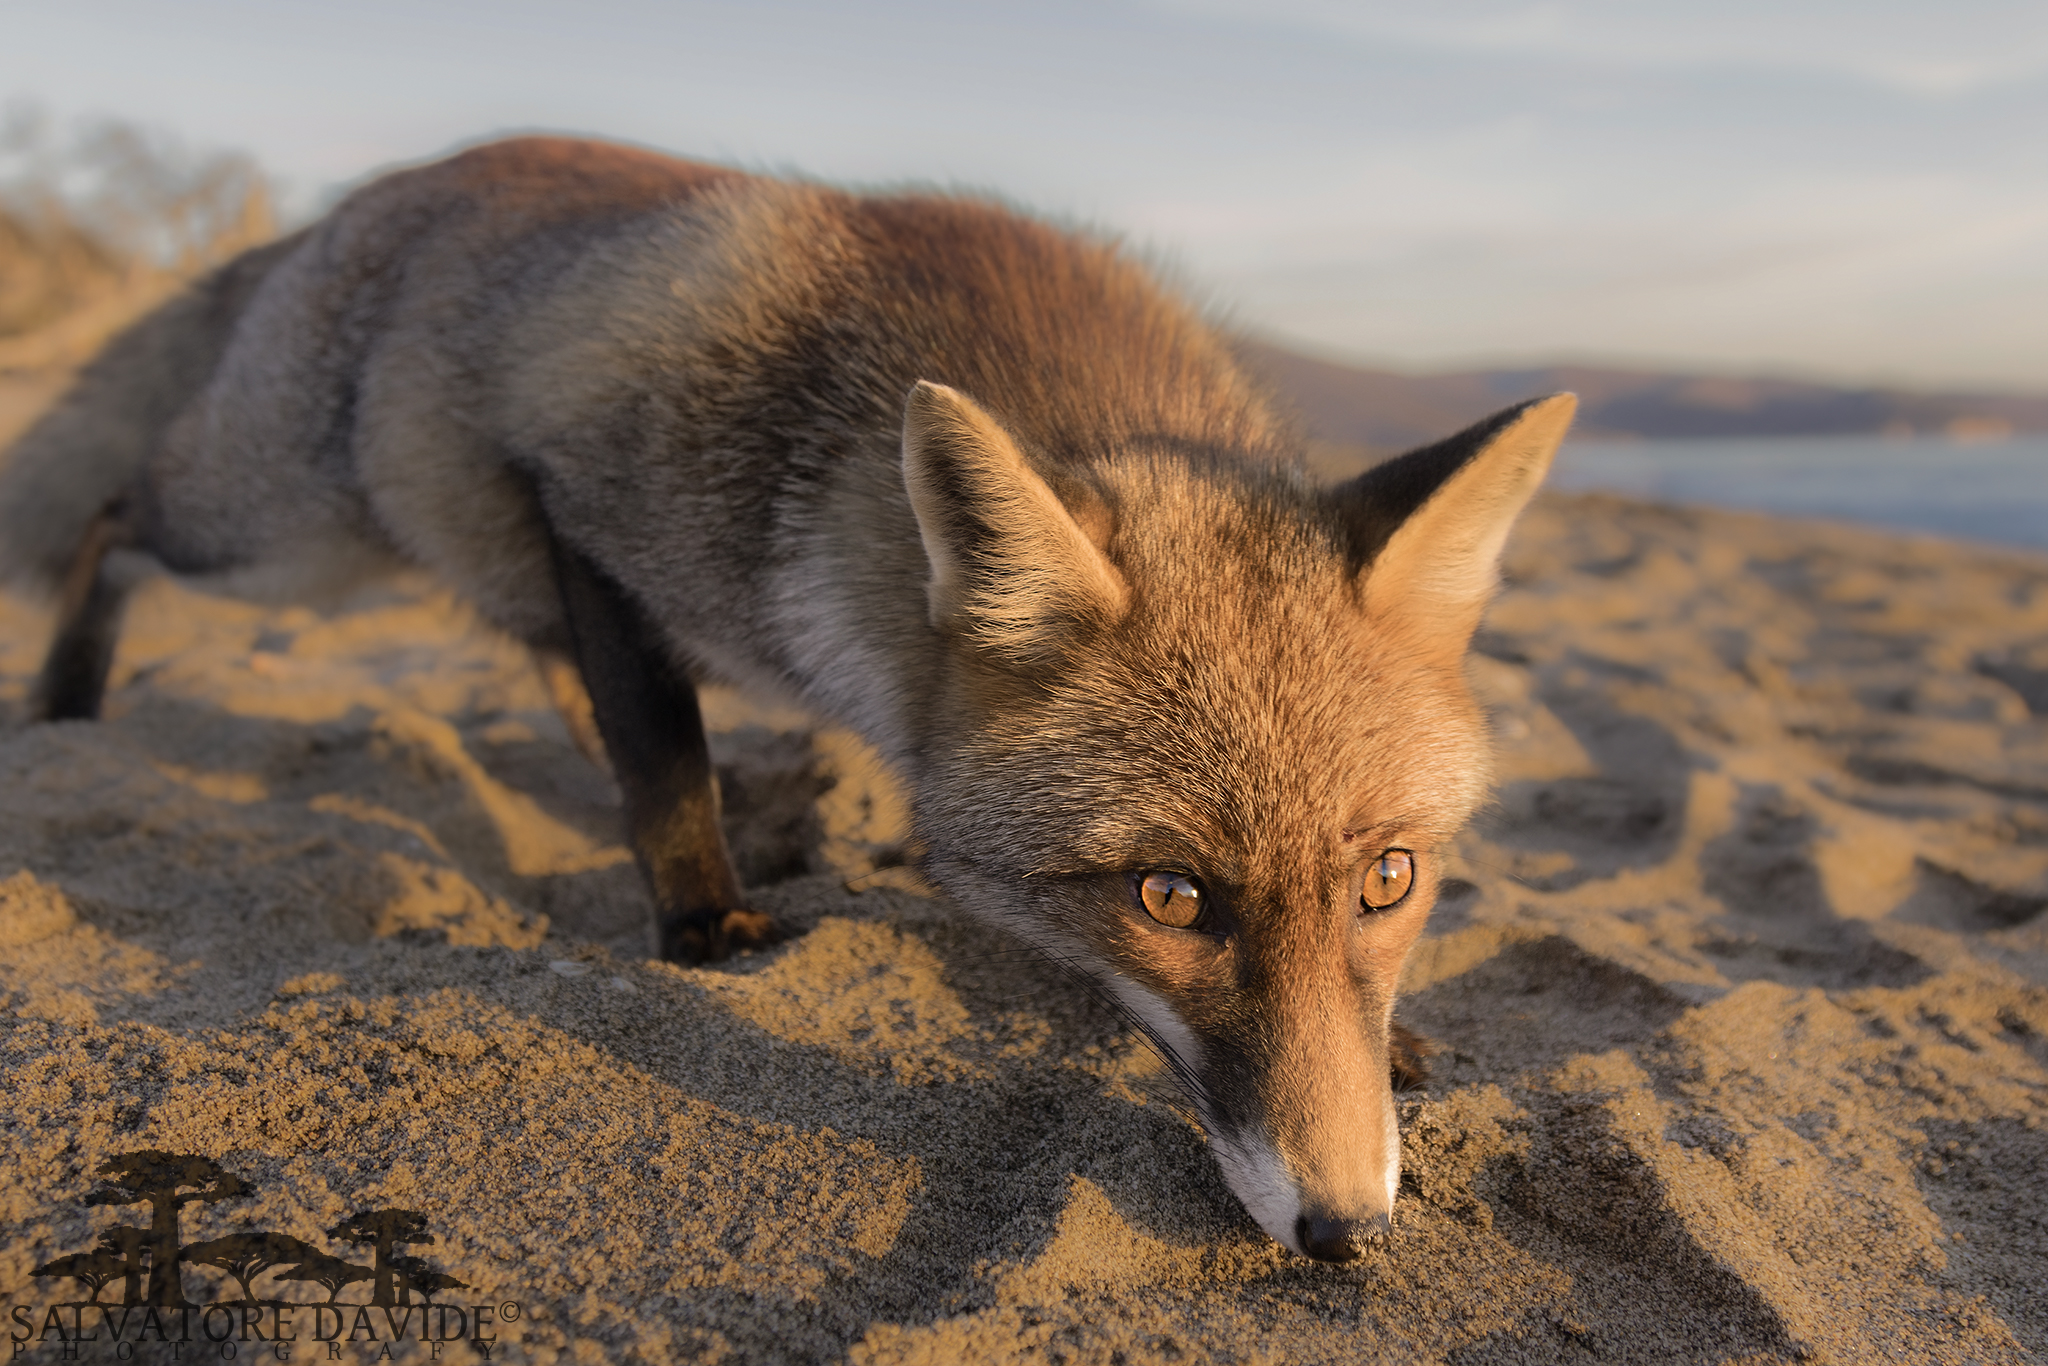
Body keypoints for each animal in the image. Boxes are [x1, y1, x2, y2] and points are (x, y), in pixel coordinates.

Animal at [0, 137, 1574, 1262]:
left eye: (1389, 880)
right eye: (1171, 896)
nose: (1345, 1232)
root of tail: (363, 194)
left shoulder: (599, 574)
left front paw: (1399, 1041)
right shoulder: (592, 521)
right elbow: (656, 759)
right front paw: (705, 921)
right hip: (294, 541)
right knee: (116, 521)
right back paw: (64, 699)